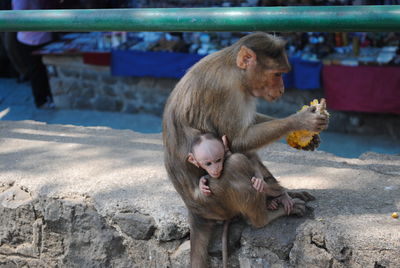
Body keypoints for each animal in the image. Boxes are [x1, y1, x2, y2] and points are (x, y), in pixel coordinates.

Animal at [162, 32, 328, 266]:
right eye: (277, 74)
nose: (282, 89)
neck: (235, 70)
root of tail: (194, 211)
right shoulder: (226, 91)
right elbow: (238, 140)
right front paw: (301, 121)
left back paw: (277, 193)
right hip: (215, 202)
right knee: (236, 163)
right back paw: (265, 216)